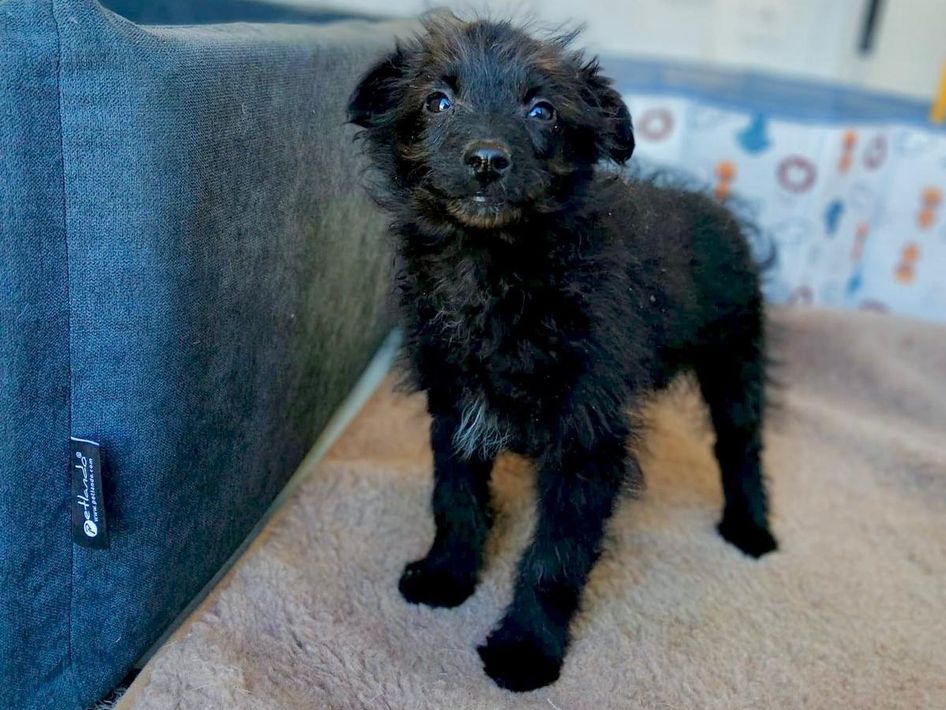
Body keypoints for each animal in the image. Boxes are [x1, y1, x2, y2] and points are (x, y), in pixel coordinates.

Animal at [347, 15, 777, 692]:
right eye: (437, 102)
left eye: (542, 110)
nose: (486, 160)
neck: (495, 272)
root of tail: (722, 209)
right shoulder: (455, 408)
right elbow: (455, 499)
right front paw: (447, 576)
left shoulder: (587, 441)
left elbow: (554, 555)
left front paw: (526, 649)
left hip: (735, 360)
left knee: (740, 443)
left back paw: (750, 528)